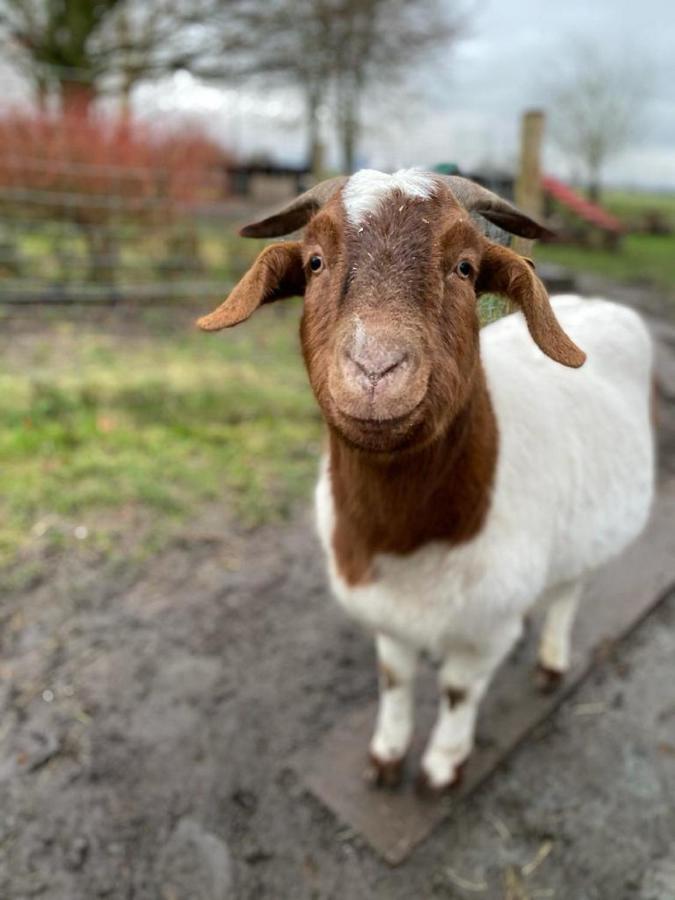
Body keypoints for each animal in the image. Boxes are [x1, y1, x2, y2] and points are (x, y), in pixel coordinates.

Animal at [197, 169, 656, 788]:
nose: (375, 368)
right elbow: (395, 679)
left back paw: (552, 660)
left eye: (464, 267)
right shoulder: (385, 614)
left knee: (570, 591)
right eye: (315, 261)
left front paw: (442, 763)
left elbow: (459, 690)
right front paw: (387, 754)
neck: (404, 539)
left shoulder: (485, 632)